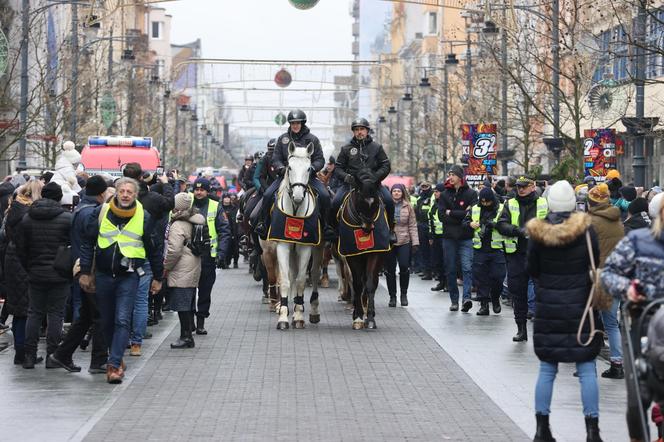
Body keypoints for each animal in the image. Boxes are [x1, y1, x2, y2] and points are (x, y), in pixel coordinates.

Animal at [272, 142, 320, 328]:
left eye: (309, 169)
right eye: (289, 167)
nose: (298, 196)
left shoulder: (305, 248)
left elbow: (300, 280)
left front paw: (298, 315)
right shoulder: (283, 246)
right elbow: (286, 280)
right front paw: (283, 318)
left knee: (313, 274)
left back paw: (311, 310)